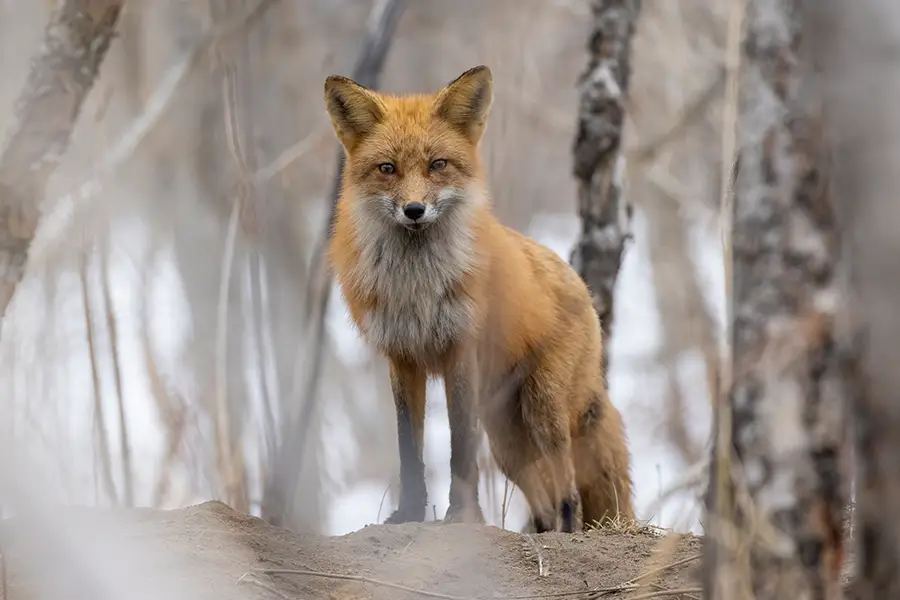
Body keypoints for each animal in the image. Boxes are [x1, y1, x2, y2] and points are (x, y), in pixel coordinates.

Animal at [324, 65, 632, 532]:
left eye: (438, 165)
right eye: (387, 168)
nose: (414, 210)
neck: (417, 286)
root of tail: (580, 282)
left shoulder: (460, 350)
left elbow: (460, 450)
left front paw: (463, 517)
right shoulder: (402, 358)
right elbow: (409, 451)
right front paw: (409, 515)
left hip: (542, 412)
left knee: (569, 489)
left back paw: (567, 532)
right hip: (508, 440)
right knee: (542, 500)